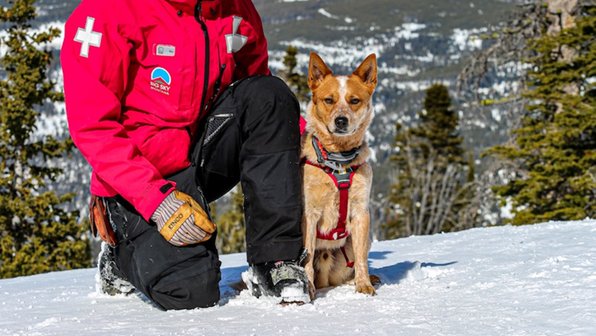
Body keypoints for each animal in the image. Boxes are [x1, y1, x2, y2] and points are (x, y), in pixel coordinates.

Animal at [300, 50, 380, 300]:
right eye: (329, 100)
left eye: (354, 101)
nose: (341, 120)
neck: (338, 162)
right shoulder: (309, 214)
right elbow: (306, 257)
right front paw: (307, 289)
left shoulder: (361, 212)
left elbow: (362, 258)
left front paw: (364, 285)